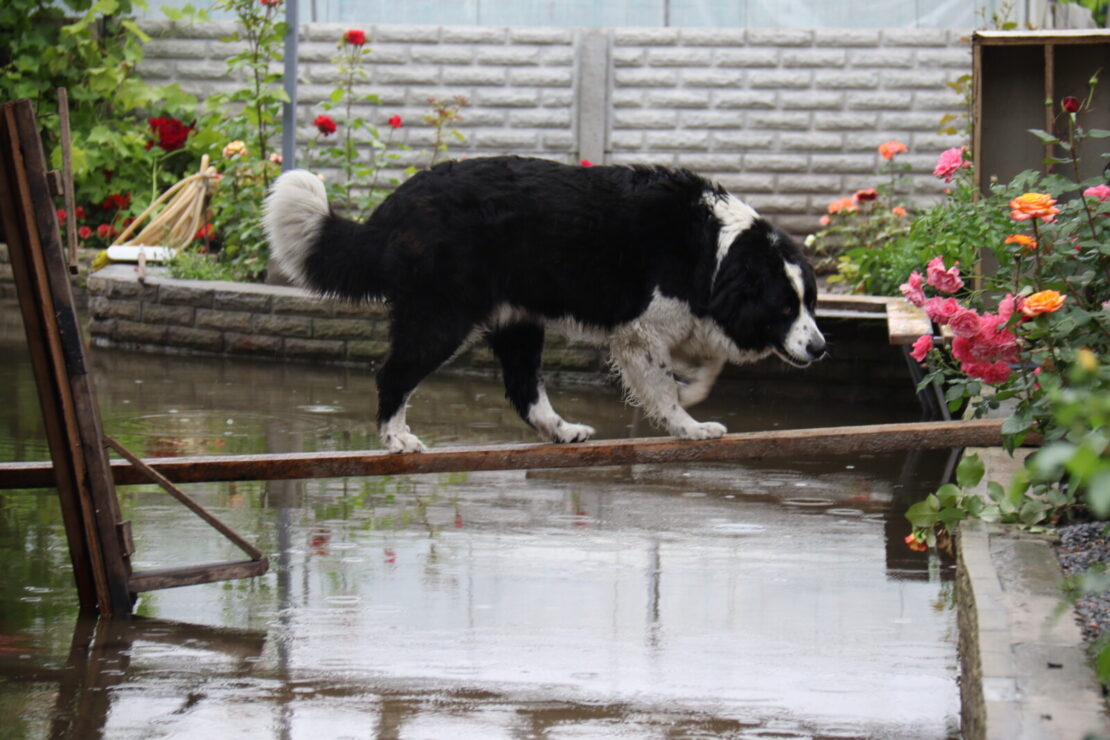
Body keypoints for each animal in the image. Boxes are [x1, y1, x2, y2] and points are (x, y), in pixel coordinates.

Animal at [264, 157, 825, 452]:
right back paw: (396, 437)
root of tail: (396, 204)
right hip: (443, 317)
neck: (718, 250)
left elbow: (706, 364)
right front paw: (689, 425)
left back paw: (561, 430)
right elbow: (664, 388)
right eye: (783, 309)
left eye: (810, 304)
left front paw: (693, 389)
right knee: (393, 374)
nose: (820, 348)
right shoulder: (639, 331)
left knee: (523, 389)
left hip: (518, 320)